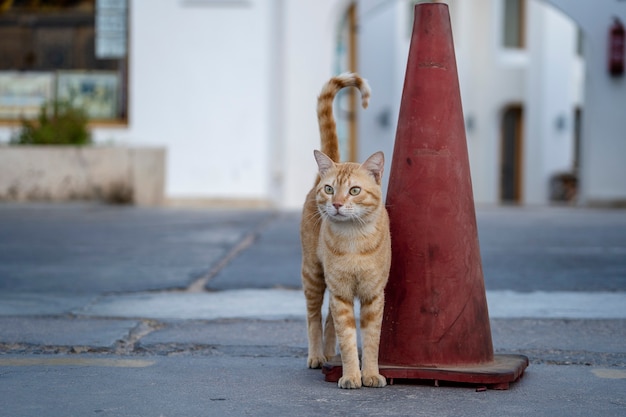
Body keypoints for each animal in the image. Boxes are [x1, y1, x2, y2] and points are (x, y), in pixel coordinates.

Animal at [298, 73, 390, 388]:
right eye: (329, 189)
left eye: (354, 190)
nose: (336, 204)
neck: (353, 241)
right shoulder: (340, 294)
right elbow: (349, 339)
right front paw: (351, 375)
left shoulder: (373, 295)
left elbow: (372, 340)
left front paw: (371, 373)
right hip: (313, 274)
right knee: (315, 317)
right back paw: (317, 356)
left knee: (327, 321)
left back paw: (328, 353)